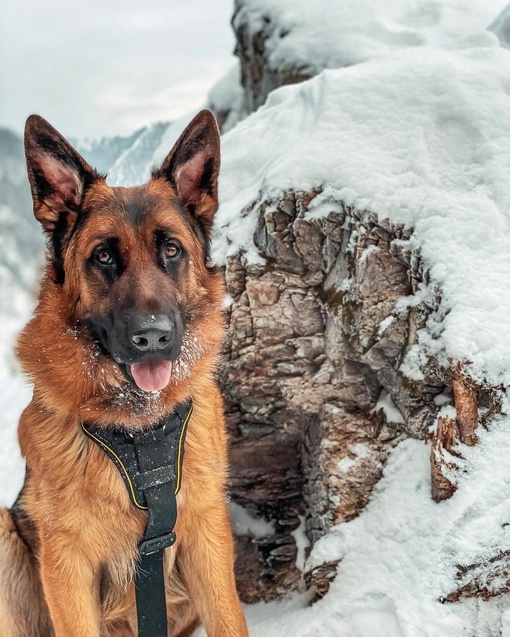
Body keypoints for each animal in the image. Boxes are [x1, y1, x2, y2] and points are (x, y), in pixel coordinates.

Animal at [0, 112, 249, 632]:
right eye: (103, 256)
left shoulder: (207, 539)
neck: (139, 431)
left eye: (171, 250)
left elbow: (231, 621)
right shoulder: (66, 567)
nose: (152, 337)